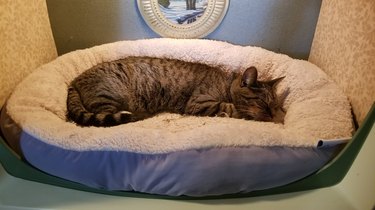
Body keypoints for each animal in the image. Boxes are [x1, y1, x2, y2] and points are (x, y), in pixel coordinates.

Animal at [67, 55, 284, 127]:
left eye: (274, 104)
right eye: (262, 102)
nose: (272, 113)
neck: (226, 83)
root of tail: (75, 80)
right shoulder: (198, 103)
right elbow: (230, 107)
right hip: (111, 96)